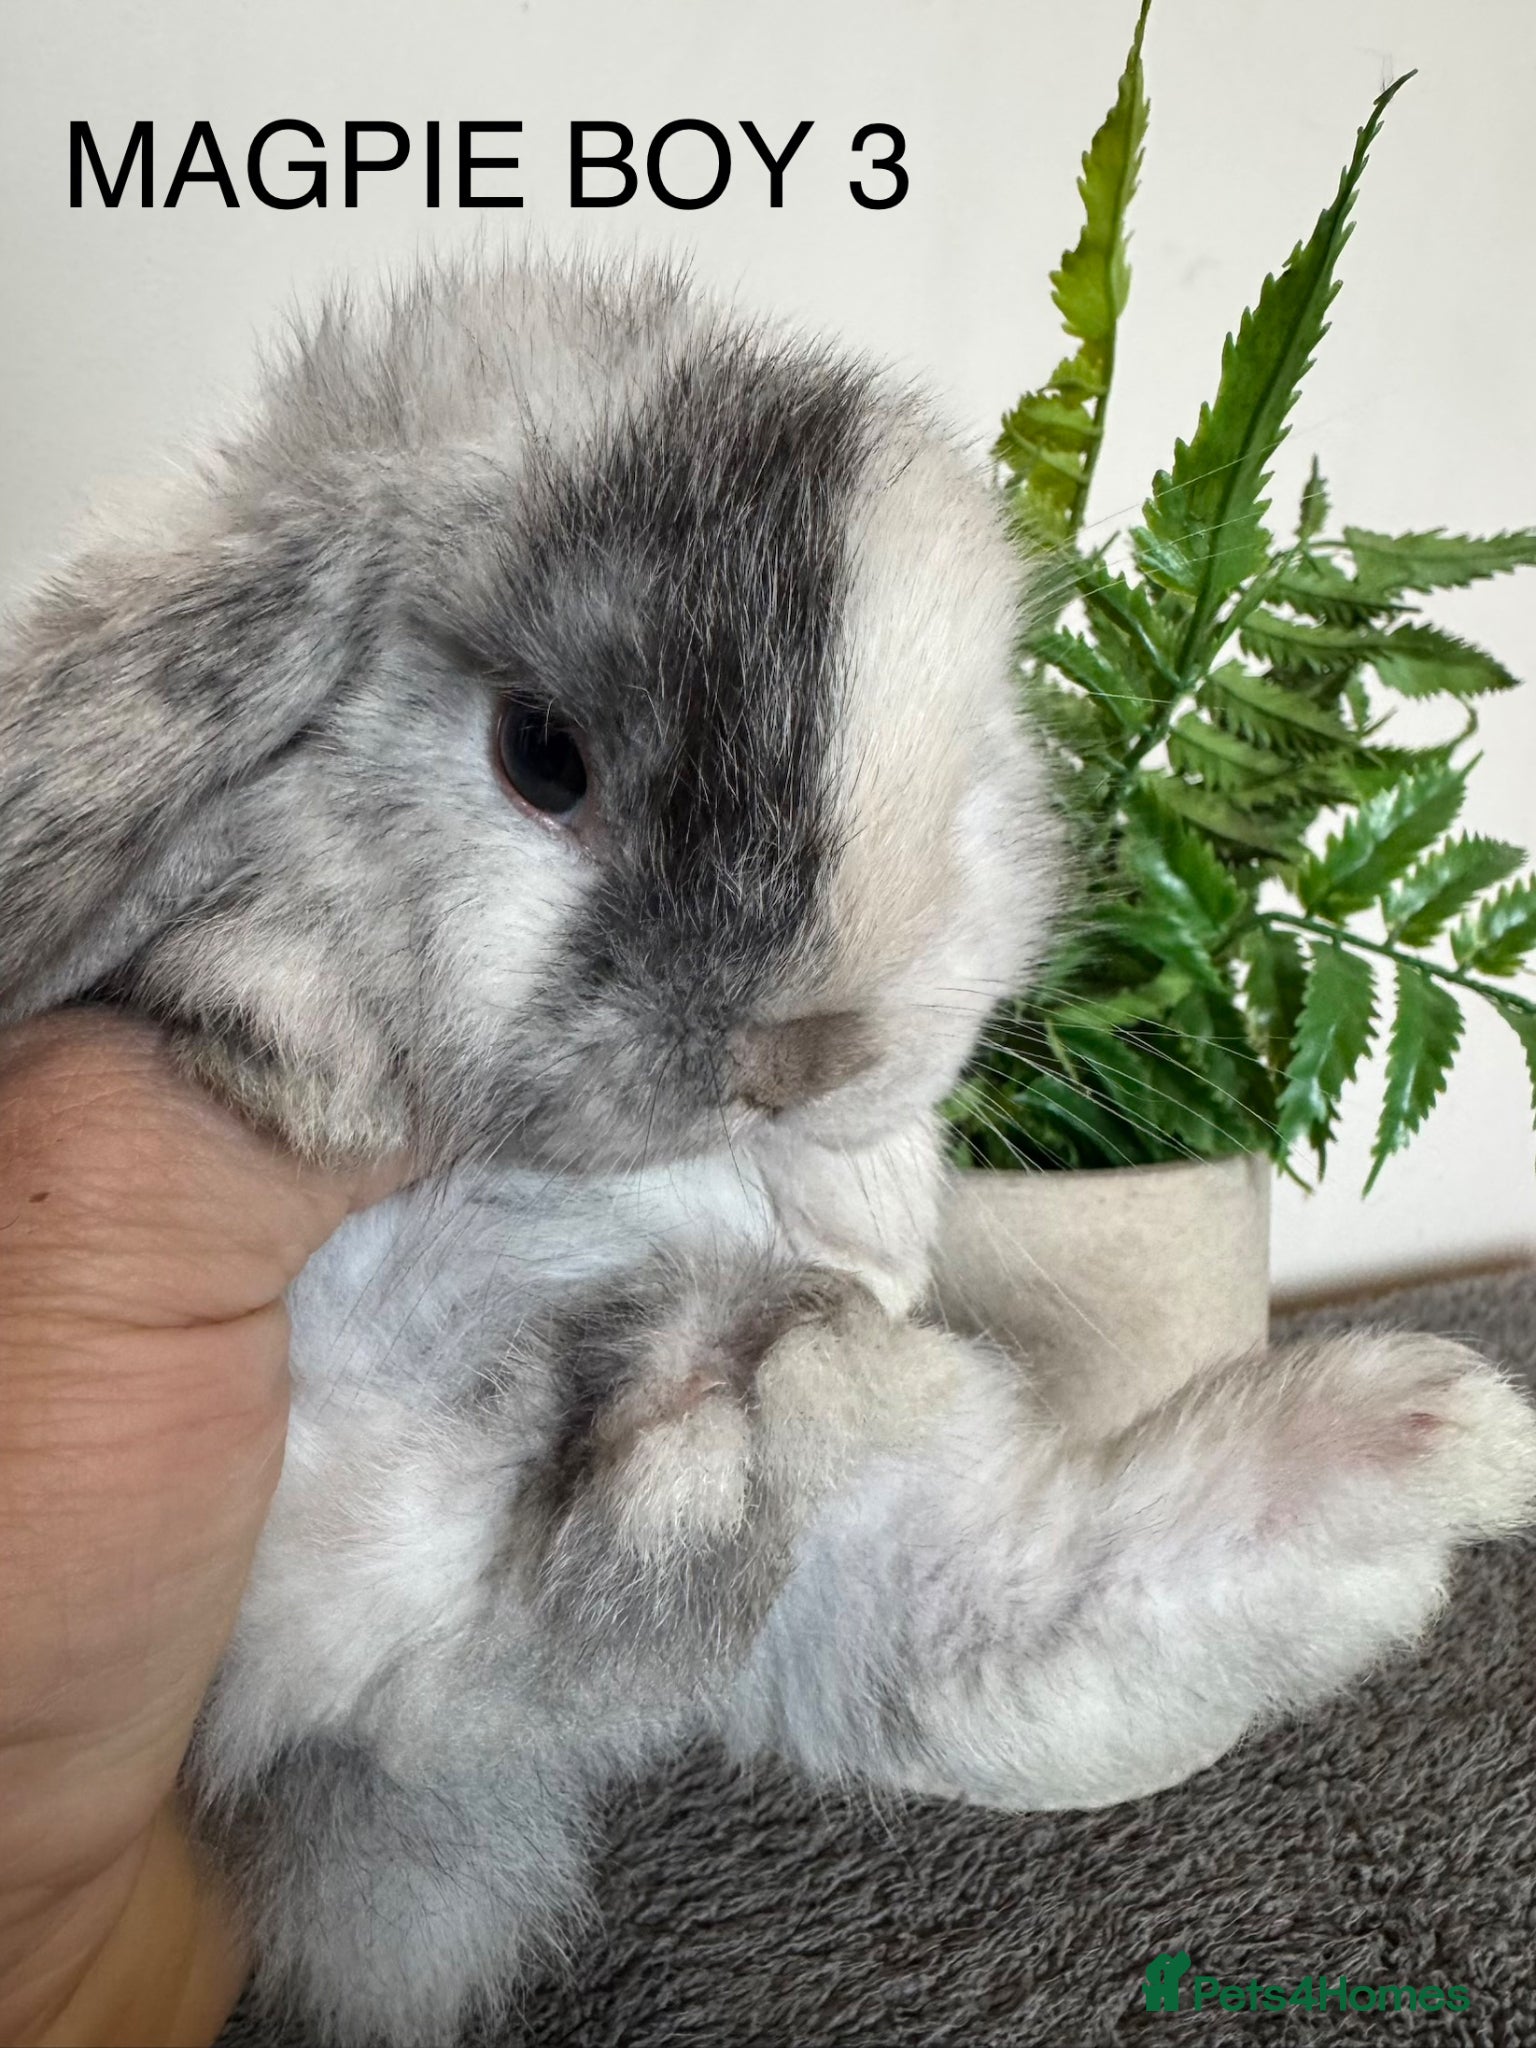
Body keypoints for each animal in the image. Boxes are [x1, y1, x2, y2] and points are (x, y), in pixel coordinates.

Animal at [2, 251, 1534, 2048]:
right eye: (540, 753)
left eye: (964, 794)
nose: (804, 1054)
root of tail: (339, 1709)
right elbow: (239, 926)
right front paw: (316, 1055)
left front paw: (867, 1229)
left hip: (858, 1574)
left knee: (726, 1611)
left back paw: (1429, 1436)